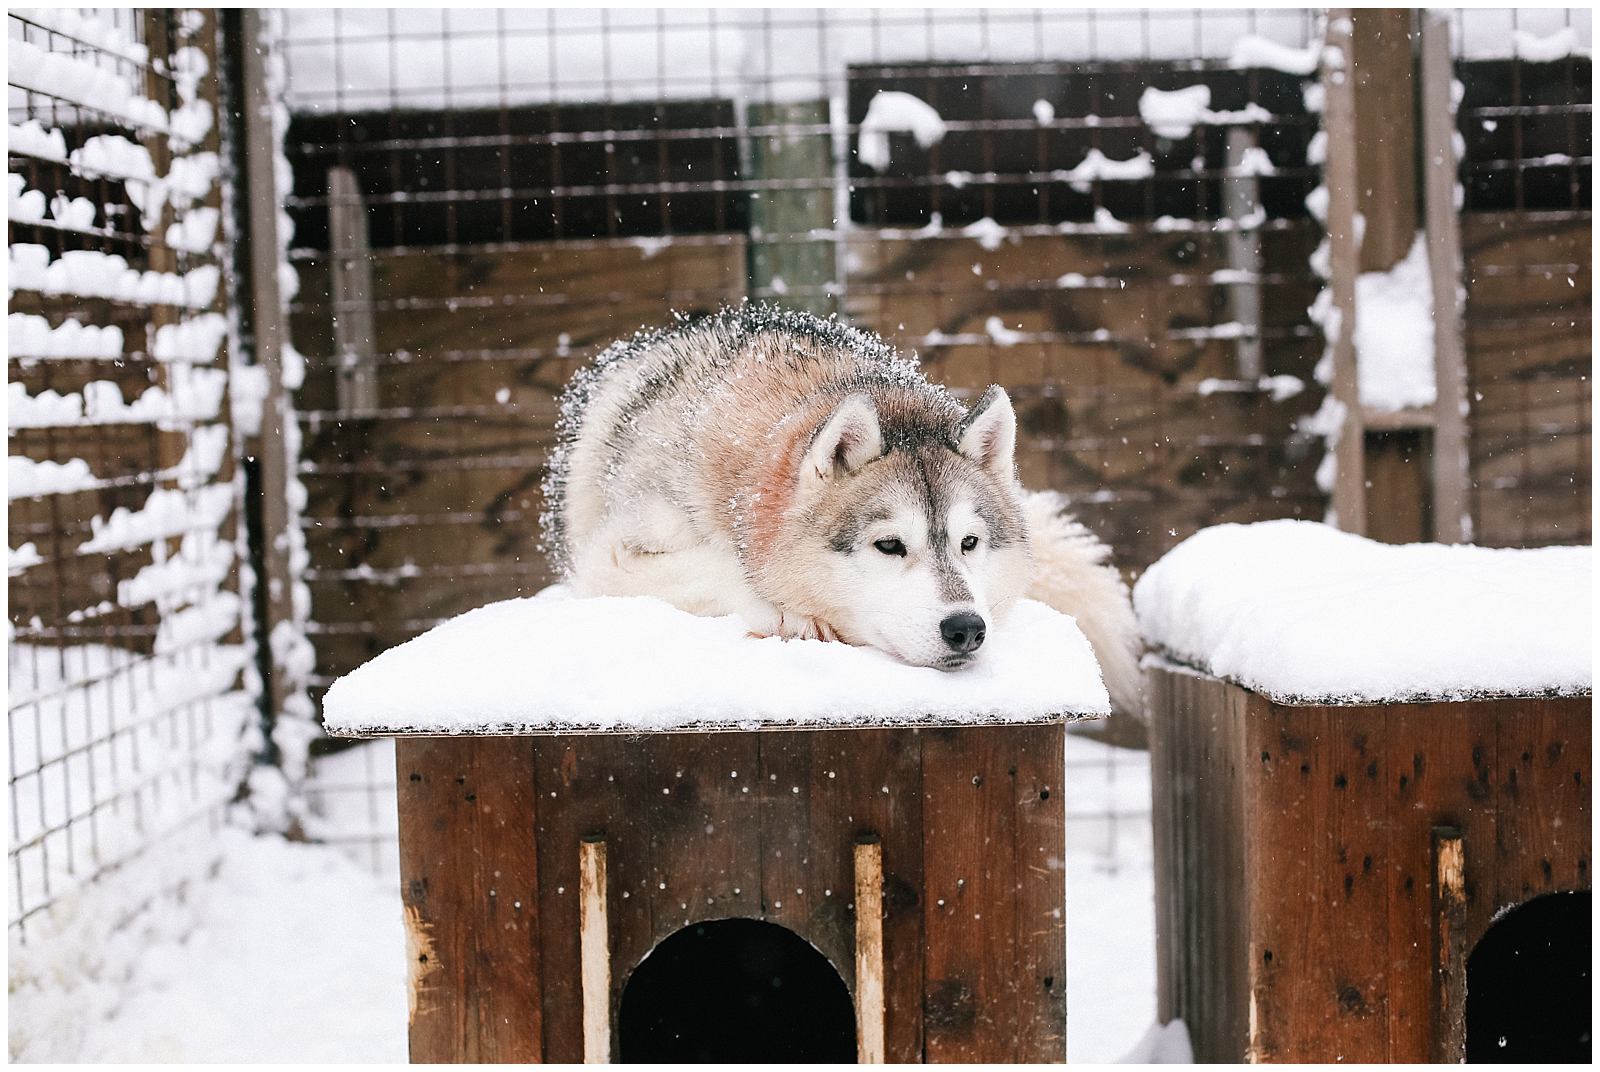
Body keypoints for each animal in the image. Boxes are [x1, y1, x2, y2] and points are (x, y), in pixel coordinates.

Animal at [541, 304, 1142, 716]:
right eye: (890, 545)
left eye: (969, 543)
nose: (967, 628)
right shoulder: (608, 563)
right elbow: (724, 566)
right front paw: (789, 612)